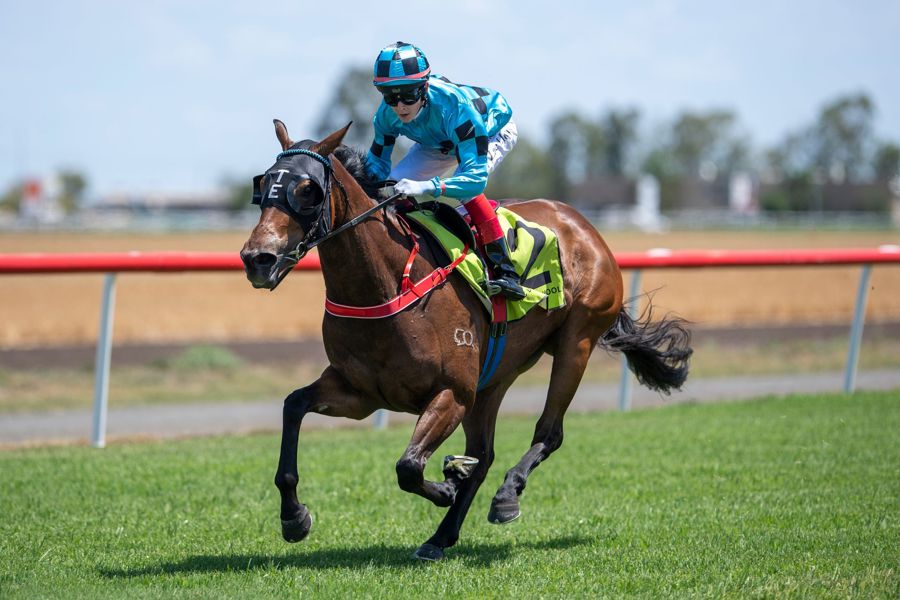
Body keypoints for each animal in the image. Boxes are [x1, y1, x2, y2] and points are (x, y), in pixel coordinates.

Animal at [240, 120, 692, 561]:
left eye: (306, 190)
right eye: (263, 185)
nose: (257, 258)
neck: (385, 284)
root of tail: (583, 225)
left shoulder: (452, 393)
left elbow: (408, 466)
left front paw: (445, 486)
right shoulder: (360, 394)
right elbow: (293, 406)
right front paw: (294, 517)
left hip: (575, 342)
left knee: (548, 433)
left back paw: (505, 495)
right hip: (495, 376)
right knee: (485, 453)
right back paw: (442, 535)